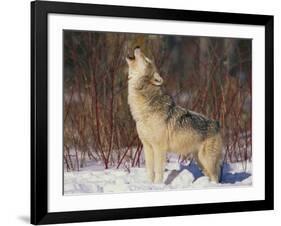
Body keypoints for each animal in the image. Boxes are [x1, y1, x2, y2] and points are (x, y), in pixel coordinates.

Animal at [126, 46, 221, 183]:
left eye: (147, 60)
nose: (137, 47)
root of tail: (217, 123)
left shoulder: (159, 148)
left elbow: (158, 171)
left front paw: (158, 185)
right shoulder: (147, 146)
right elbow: (150, 170)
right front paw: (149, 184)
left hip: (206, 160)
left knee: (215, 177)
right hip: (200, 161)